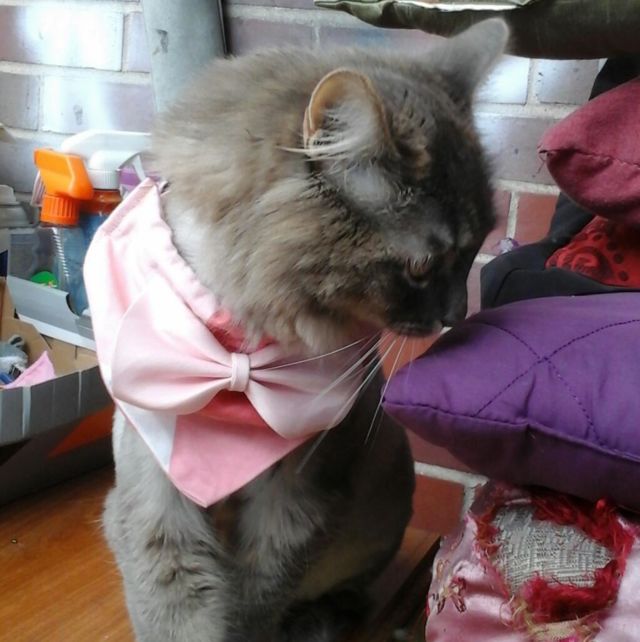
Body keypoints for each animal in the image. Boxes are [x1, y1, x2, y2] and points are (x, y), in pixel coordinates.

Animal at [101, 18, 508, 642]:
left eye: (474, 252)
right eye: (421, 268)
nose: (457, 315)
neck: (236, 349)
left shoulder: (296, 498)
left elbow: (255, 601)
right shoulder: (153, 496)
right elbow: (173, 609)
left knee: (346, 594)